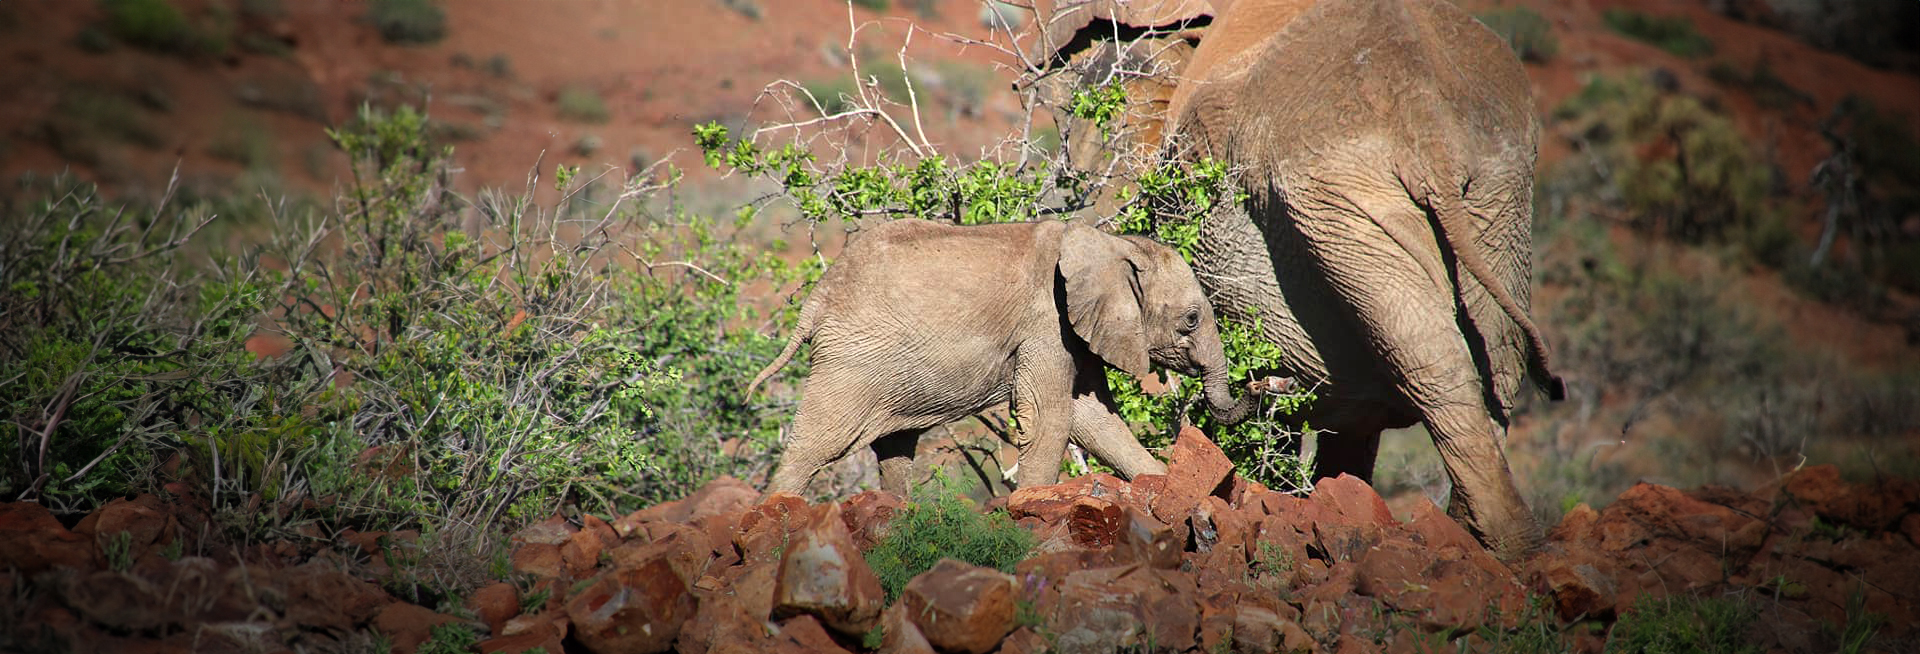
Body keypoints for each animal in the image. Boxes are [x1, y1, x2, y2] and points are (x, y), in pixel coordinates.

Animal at [746, 218, 1272, 497]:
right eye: (1191, 320)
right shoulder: (1047, 323)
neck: (1110, 242)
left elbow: (1094, 418)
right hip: (852, 358)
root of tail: (816, 298)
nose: (1261, 382)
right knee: (817, 443)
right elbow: (1051, 418)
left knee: (895, 447)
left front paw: (1168, 489)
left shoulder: (1075, 330)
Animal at [1033, 0, 1566, 559]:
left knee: (1434, 357)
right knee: (1495, 353)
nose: (1268, 384)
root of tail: (1425, 117)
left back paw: (1504, 545)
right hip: (1485, 188)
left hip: (1337, 196)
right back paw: (1497, 541)